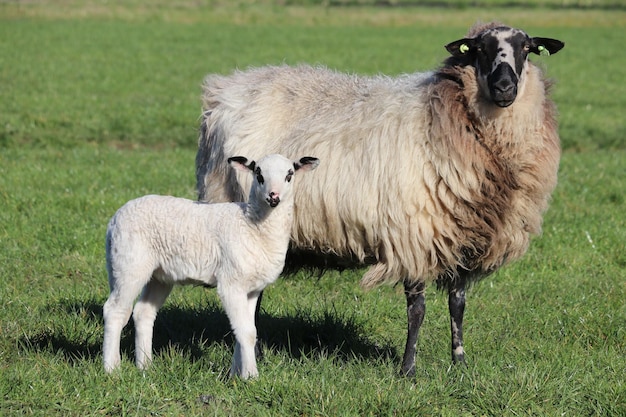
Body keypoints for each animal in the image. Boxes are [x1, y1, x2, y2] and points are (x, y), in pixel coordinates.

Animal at [103, 153, 320, 376]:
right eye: (258, 174)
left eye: (289, 175)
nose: (273, 196)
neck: (252, 226)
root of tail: (114, 220)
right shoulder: (231, 282)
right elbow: (246, 332)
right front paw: (252, 376)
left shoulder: (252, 289)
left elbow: (246, 331)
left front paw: (237, 373)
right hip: (128, 264)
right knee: (115, 311)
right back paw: (112, 368)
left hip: (159, 275)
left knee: (143, 313)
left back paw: (146, 366)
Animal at [196, 21, 564, 376]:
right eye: (478, 50)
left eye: (527, 49)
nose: (505, 87)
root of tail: (221, 93)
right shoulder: (415, 235)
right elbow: (417, 309)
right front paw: (408, 370)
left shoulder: (464, 236)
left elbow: (457, 304)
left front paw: (460, 364)